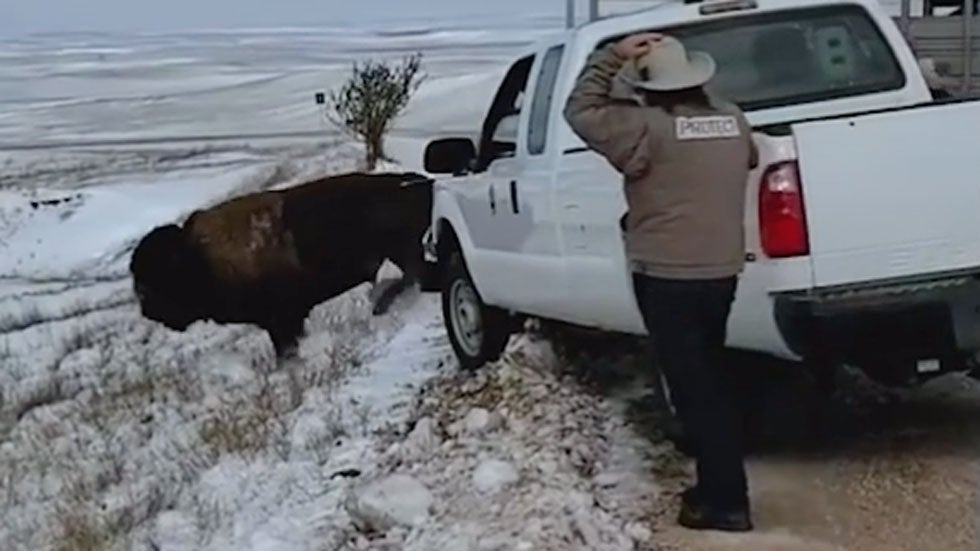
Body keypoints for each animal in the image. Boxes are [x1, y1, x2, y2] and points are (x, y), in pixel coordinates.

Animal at [129, 171, 434, 356]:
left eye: (157, 278)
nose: (147, 310)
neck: (199, 257)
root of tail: (416, 181)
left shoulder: (283, 320)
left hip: (402, 250)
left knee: (413, 276)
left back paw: (381, 305)